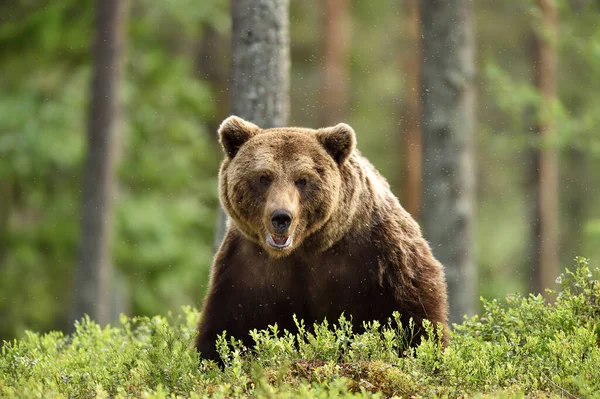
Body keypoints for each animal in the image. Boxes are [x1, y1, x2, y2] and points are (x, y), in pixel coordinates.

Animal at [195, 115, 448, 362]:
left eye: (302, 179)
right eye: (264, 177)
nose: (281, 217)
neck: (304, 247)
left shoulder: (380, 254)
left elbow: (414, 318)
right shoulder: (247, 268)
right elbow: (227, 329)